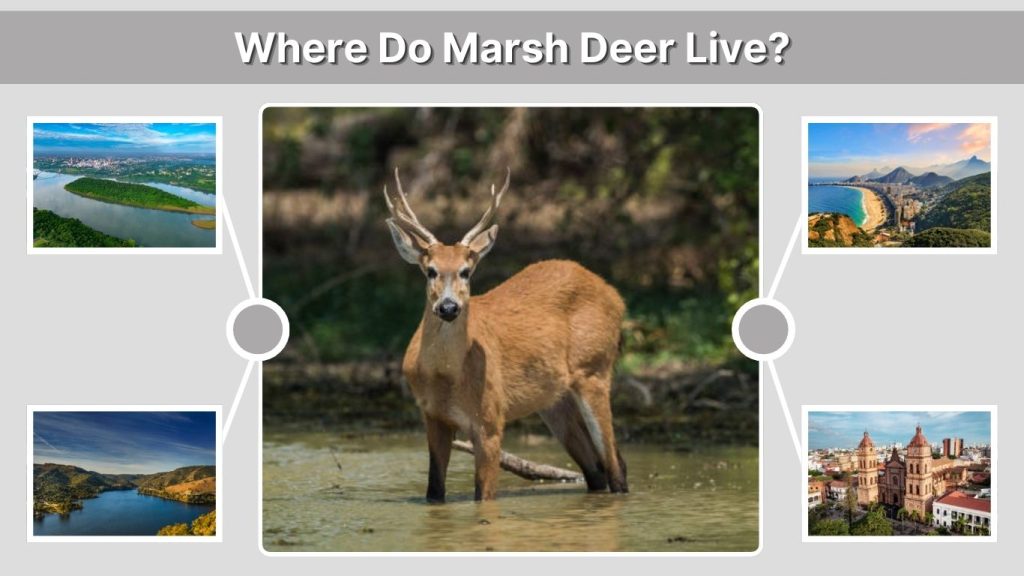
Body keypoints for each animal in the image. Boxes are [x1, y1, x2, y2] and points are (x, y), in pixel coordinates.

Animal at [384, 167, 629, 502]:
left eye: (466, 271)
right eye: (430, 270)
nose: (448, 307)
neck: (445, 377)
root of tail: (616, 297)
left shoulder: (490, 419)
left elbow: (483, 496)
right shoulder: (432, 416)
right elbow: (434, 491)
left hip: (594, 369)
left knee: (616, 467)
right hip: (554, 399)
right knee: (597, 470)